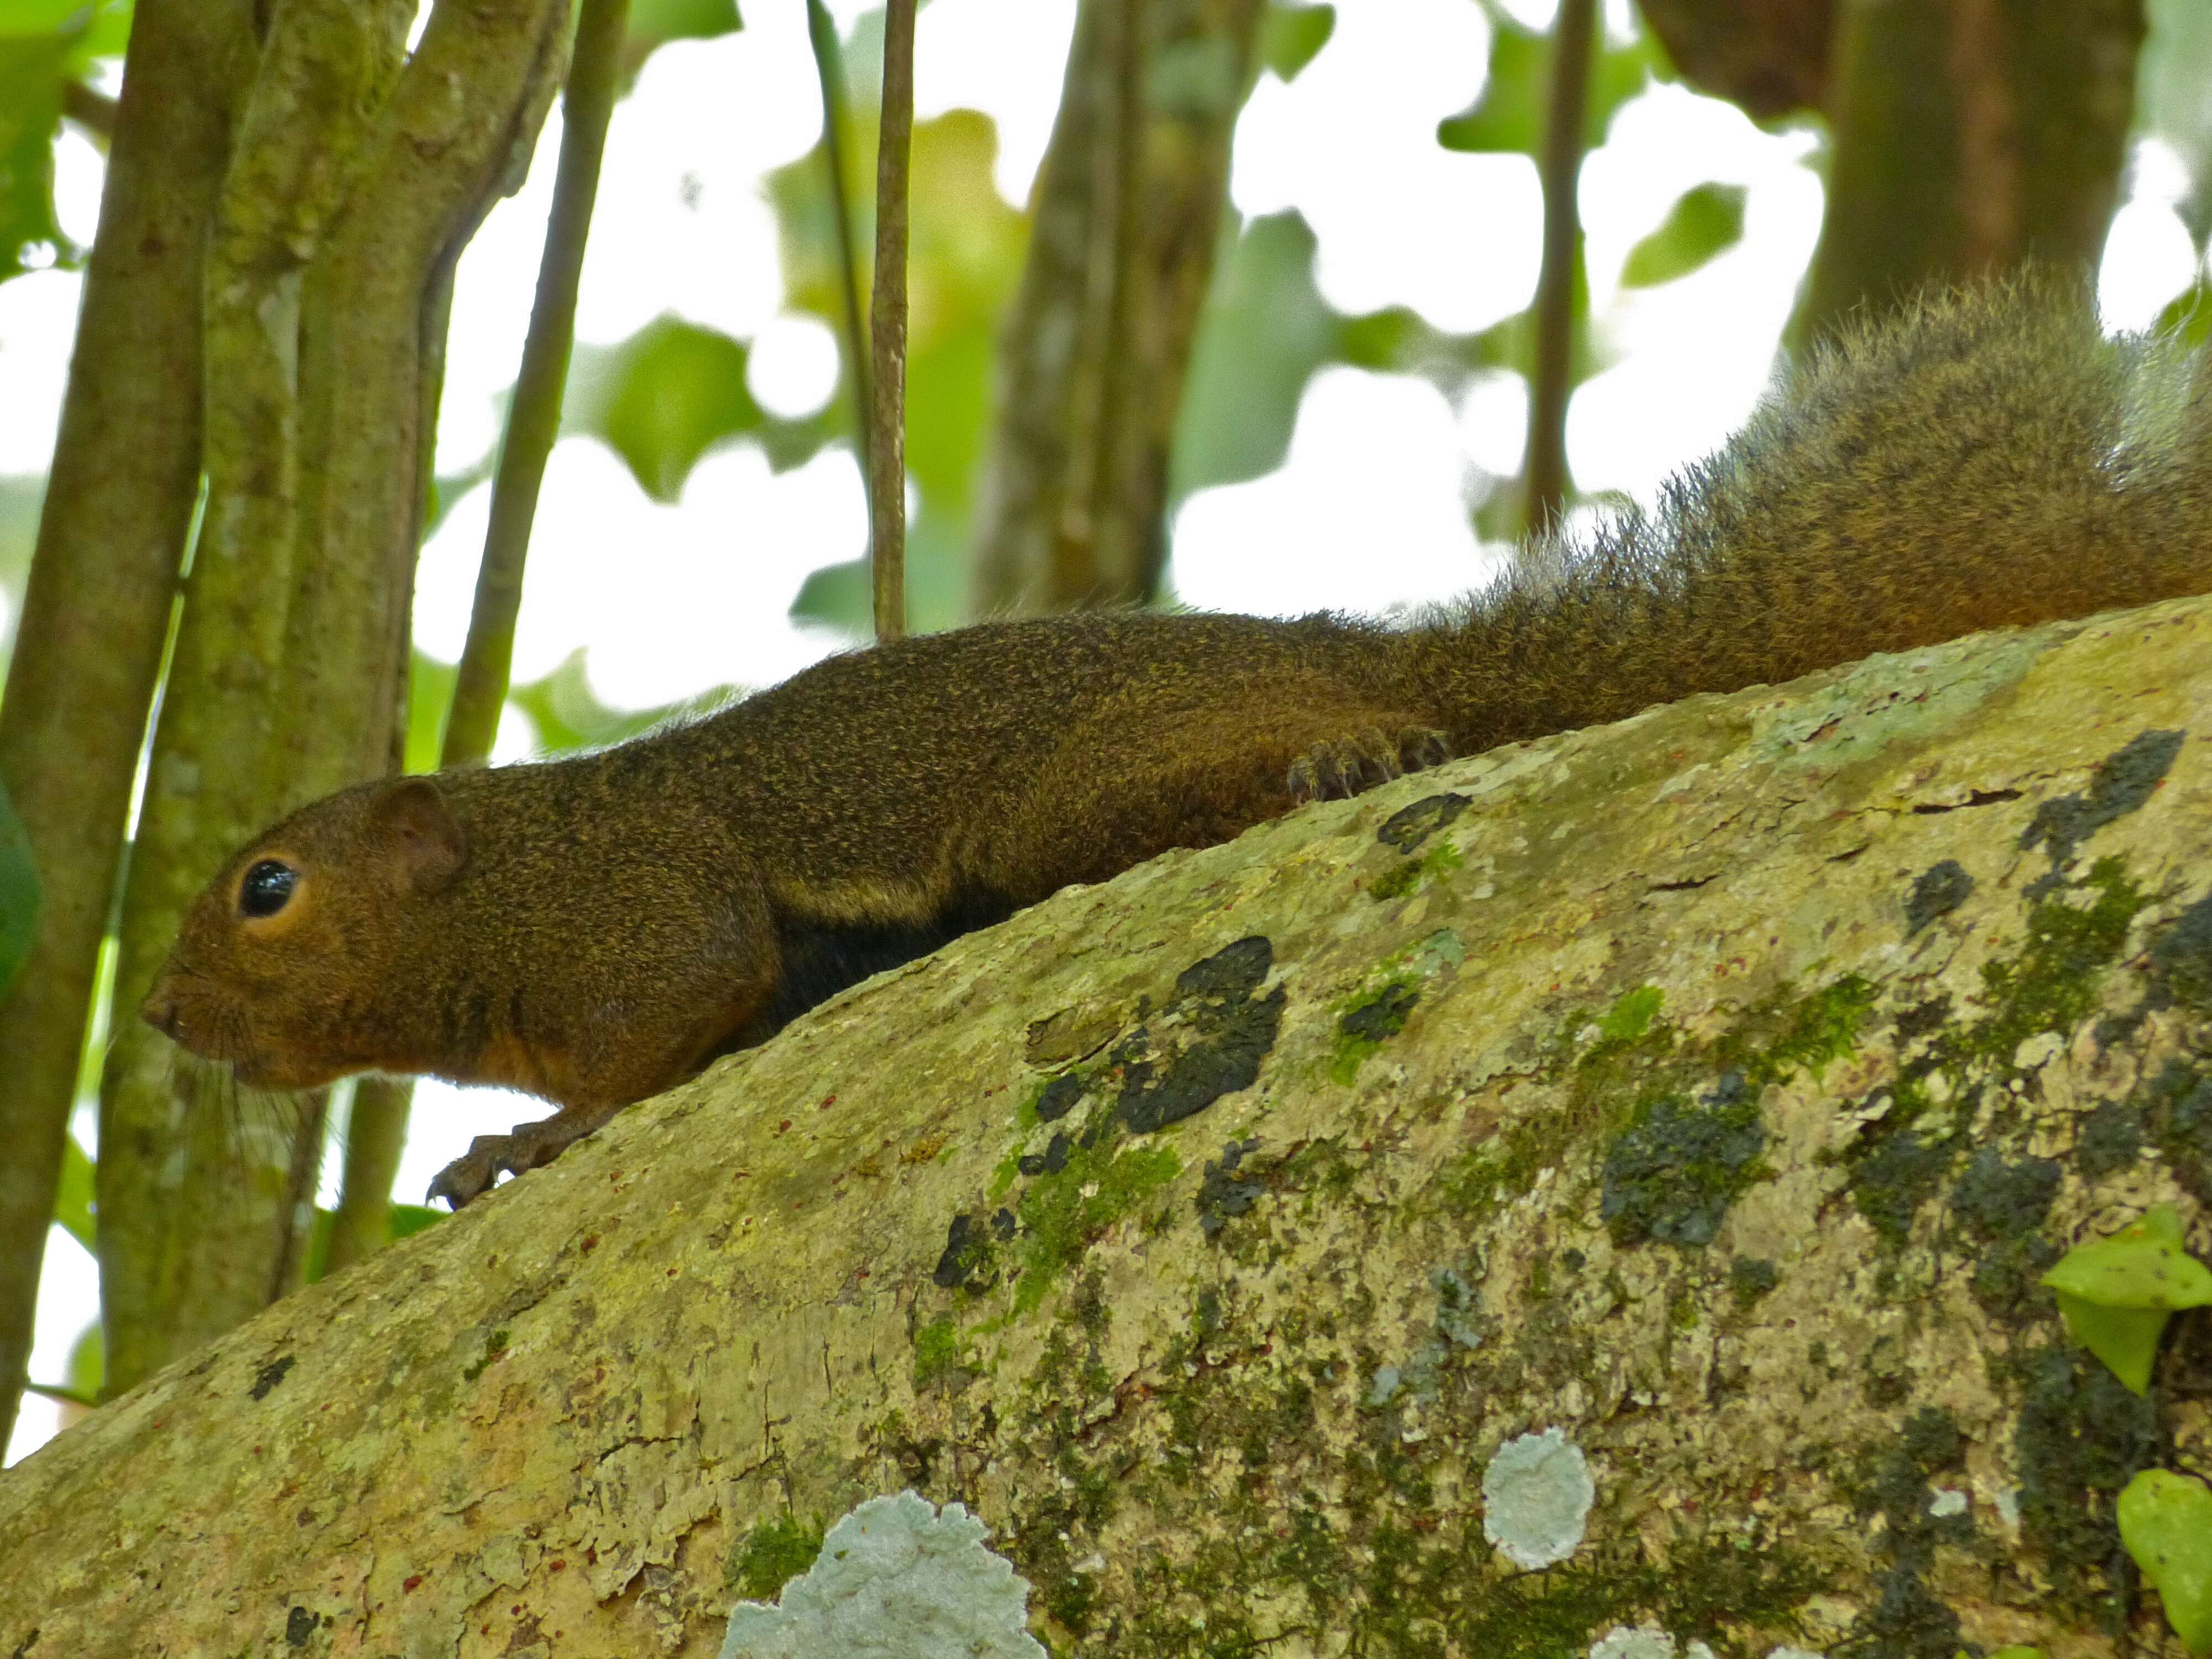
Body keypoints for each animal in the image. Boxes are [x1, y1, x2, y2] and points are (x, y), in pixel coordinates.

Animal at [134, 276, 2212, 1212]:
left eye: (267, 887)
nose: (154, 1013)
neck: (499, 886)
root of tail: (1320, 645)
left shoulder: (637, 903)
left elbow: (694, 996)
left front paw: (537, 1138)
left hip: (1089, 785)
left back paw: (1343, 757)